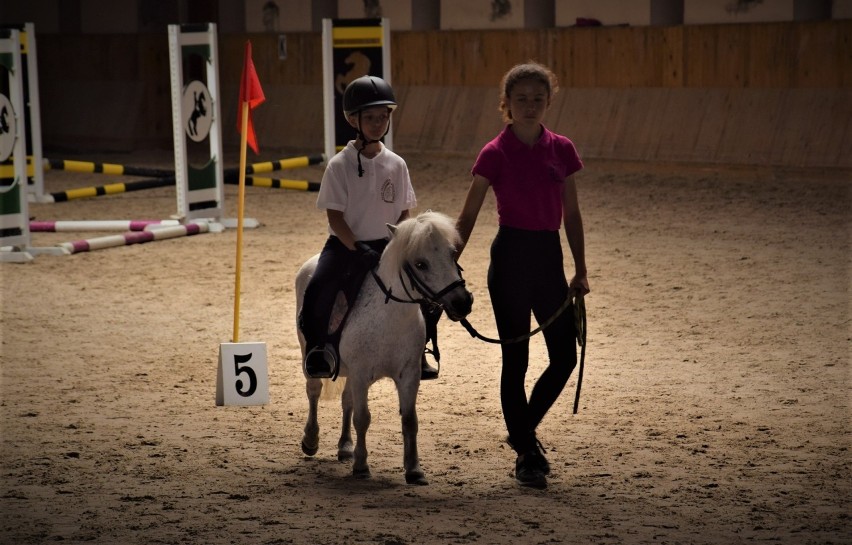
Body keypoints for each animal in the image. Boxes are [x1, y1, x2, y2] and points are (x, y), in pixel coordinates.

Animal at [296, 210, 476, 482]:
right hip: (310, 356)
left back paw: (345, 446)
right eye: (420, 264)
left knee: (346, 401)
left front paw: (414, 469)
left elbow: (410, 420)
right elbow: (362, 418)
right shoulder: (361, 375)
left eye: (451, 253)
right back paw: (311, 440)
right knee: (314, 392)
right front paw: (361, 466)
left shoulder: (408, 375)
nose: (463, 302)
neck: (390, 316)